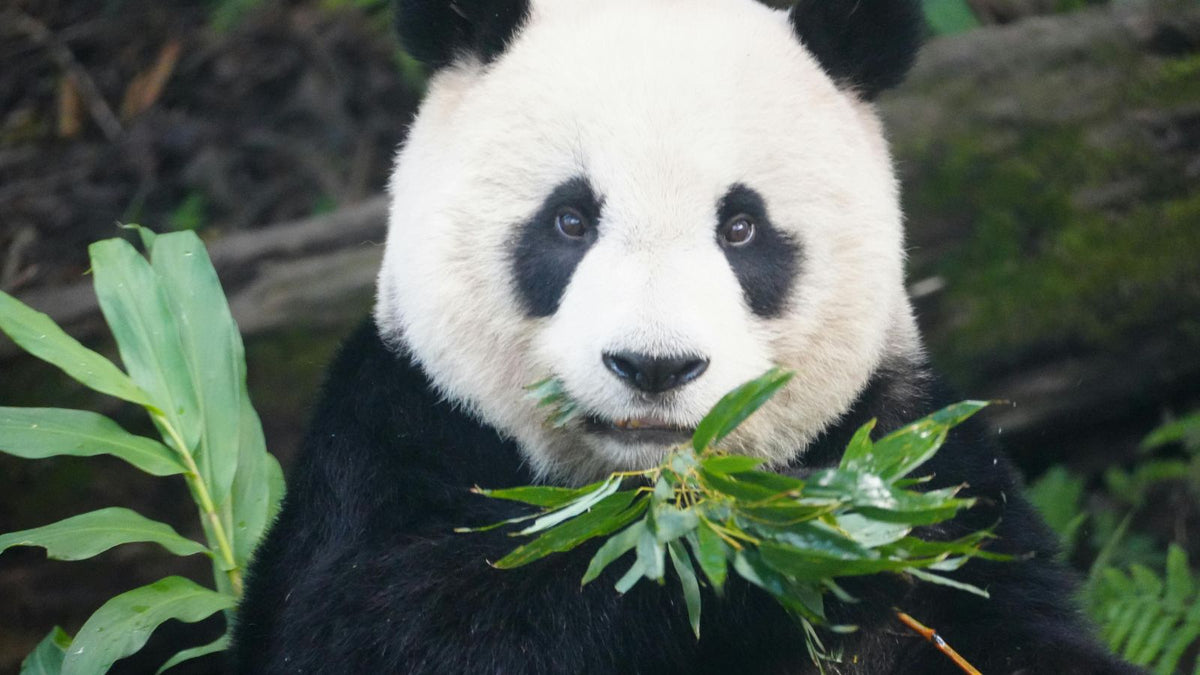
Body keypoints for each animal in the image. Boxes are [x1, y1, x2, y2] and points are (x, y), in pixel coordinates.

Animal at [233, 0, 1139, 673]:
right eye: (570, 219)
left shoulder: (925, 462)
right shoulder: (393, 441)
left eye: (741, 228)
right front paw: (770, 556)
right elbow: (406, 625)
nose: (653, 365)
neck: (648, 490)